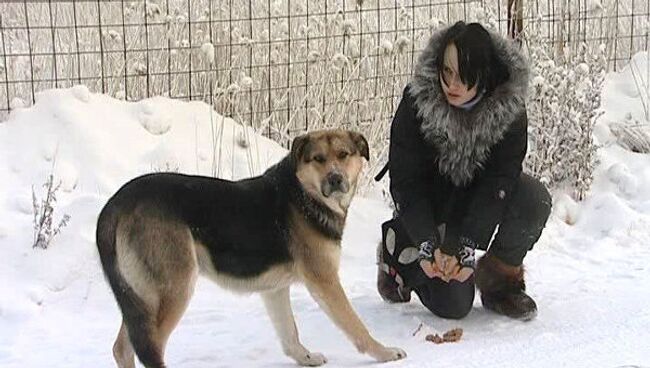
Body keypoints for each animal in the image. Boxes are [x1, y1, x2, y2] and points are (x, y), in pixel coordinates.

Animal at [95, 128, 404, 366]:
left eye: (343, 155)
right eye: (318, 159)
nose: (335, 178)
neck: (303, 195)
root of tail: (115, 205)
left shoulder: (275, 290)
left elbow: (290, 333)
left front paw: (304, 358)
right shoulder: (324, 281)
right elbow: (356, 326)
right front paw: (384, 352)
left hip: (140, 298)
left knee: (122, 348)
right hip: (173, 289)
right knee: (149, 347)